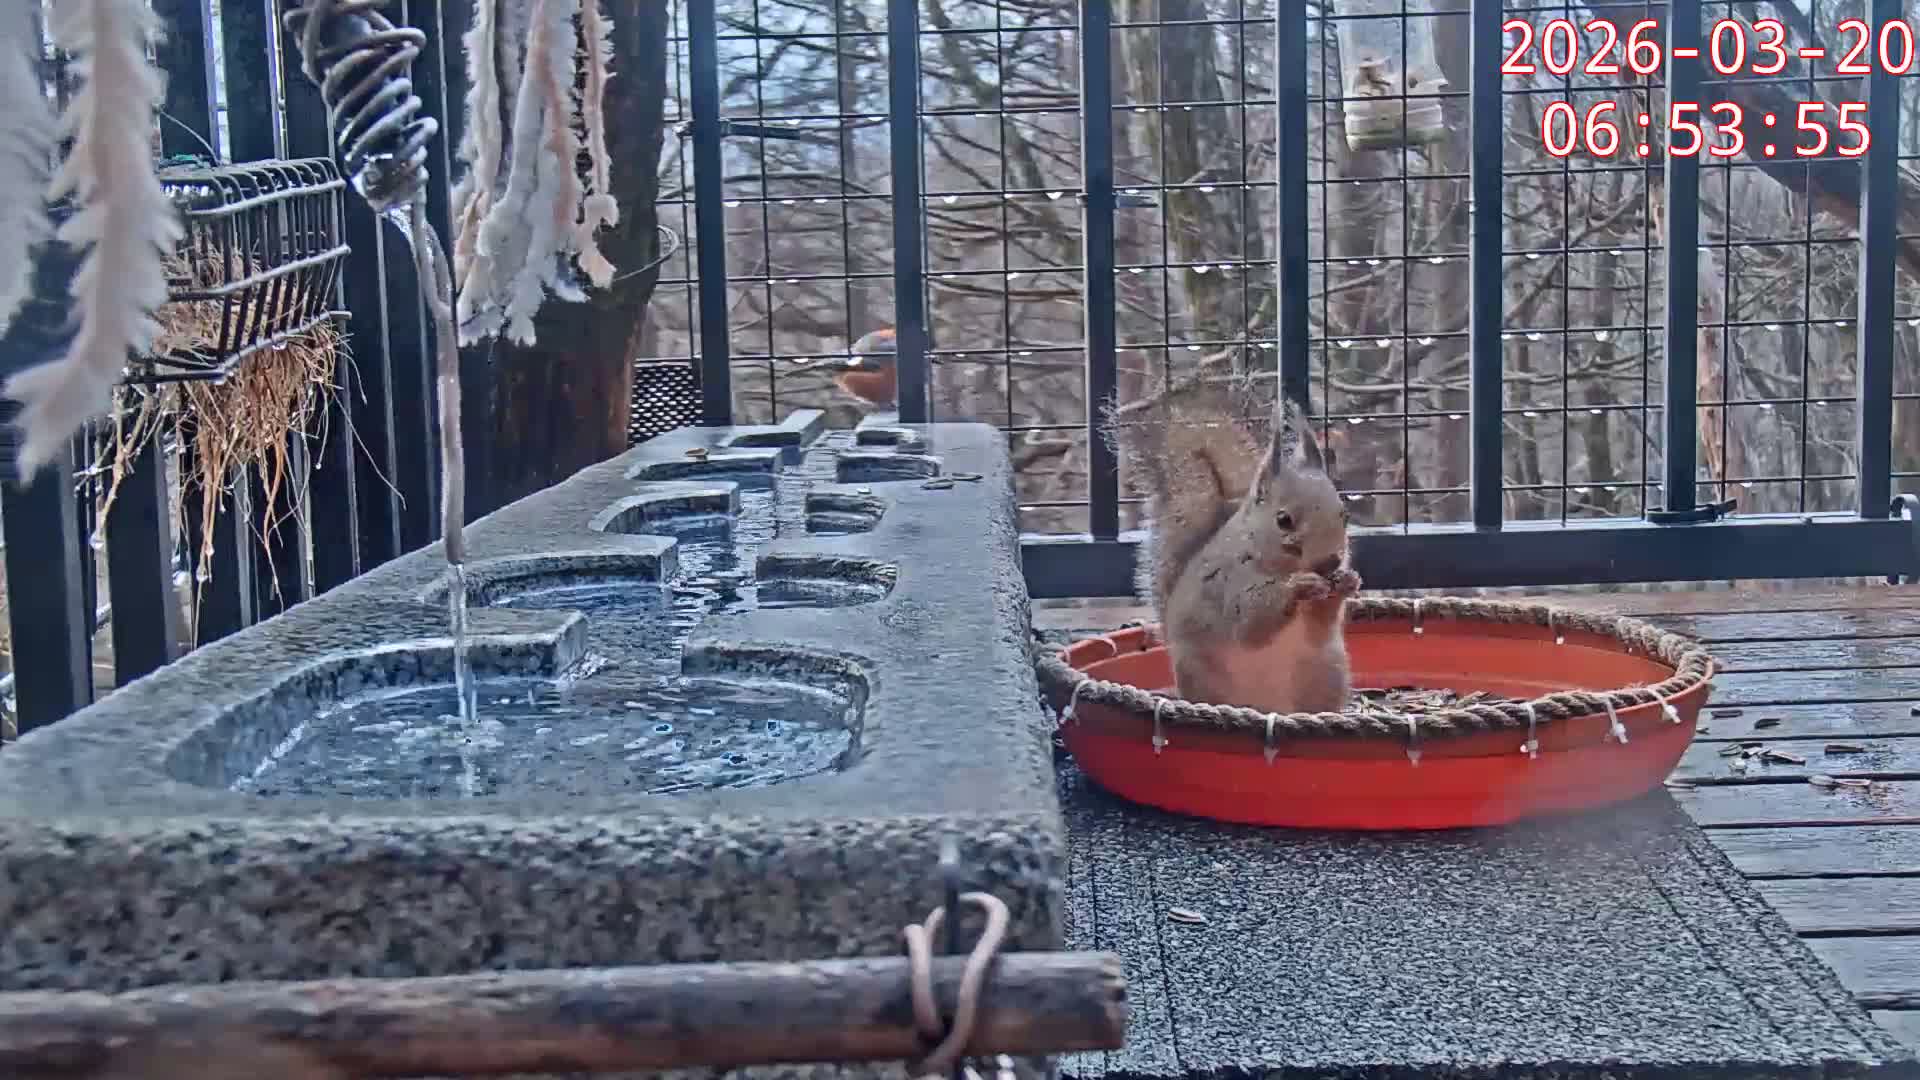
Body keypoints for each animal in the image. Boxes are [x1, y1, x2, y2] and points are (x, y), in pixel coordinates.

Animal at [1112, 375, 1361, 715]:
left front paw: (1347, 581)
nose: (1330, 563)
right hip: (1201, 674)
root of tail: (1271, 708)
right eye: (1283, 520)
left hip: (1327, 672)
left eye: (1344, 514)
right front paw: (1299, 587)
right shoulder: (1227, 583)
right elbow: (1250, 625)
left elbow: (1319, 628)